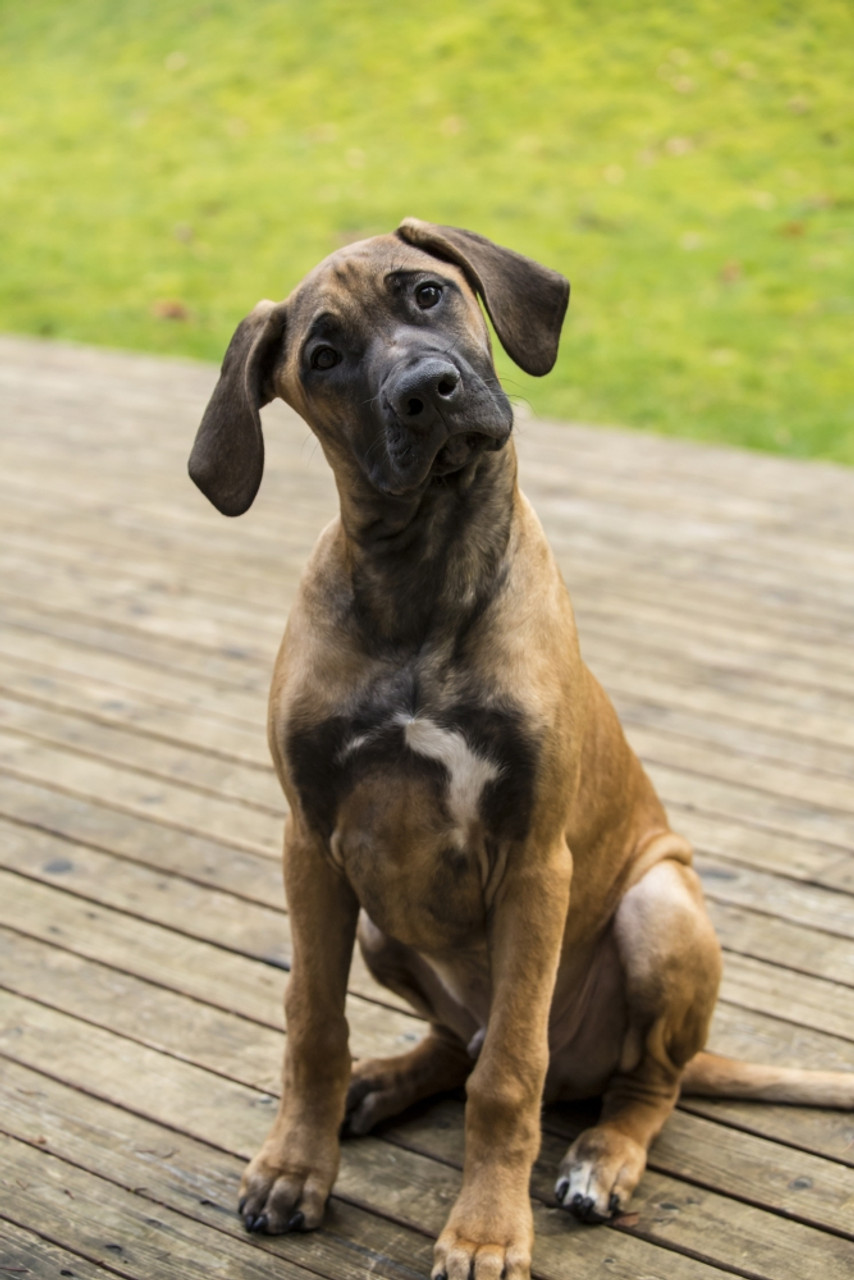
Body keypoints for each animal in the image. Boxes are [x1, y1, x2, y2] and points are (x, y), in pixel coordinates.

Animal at [188, 222, 854, 1280]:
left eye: (426, 293)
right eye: (323, 357)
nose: (426, 391)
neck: (421, 577)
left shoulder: (537, 861)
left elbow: (509, 1074)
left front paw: (487, 1231)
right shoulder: (311, 846)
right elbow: (311, 1025)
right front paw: (297, 1166)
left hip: (659, 907)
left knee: (637, 1082)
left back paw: (603, 1158)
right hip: (383, 924)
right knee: (454, 1040)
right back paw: (384, 1080)